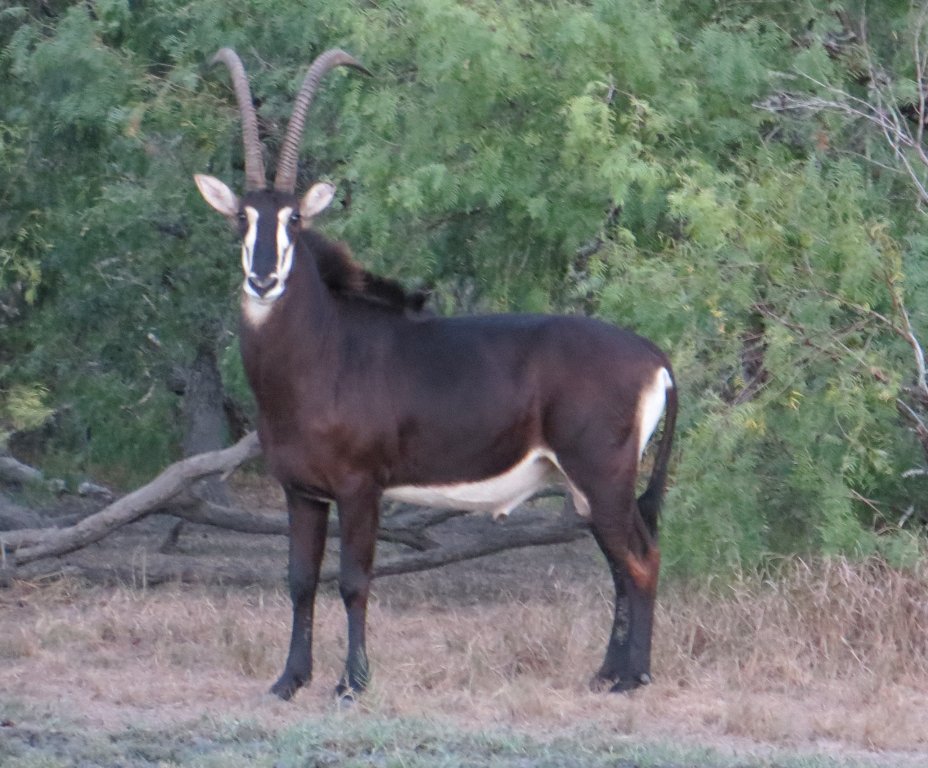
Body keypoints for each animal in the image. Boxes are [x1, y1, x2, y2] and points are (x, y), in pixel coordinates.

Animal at [194, 48, 678, 702]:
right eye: (241, 219)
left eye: (293, 219)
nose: (263, 279)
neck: (324, 349)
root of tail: (654, 356)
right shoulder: (302, 492)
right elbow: (299, 581)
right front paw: (289, 680)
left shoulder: (360, 488)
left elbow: (353, 580)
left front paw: (352, 684)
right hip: (585, 487)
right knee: (621, 563)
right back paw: (607, 673)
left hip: (602, 476)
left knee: (640, 560)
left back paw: (634, 677)